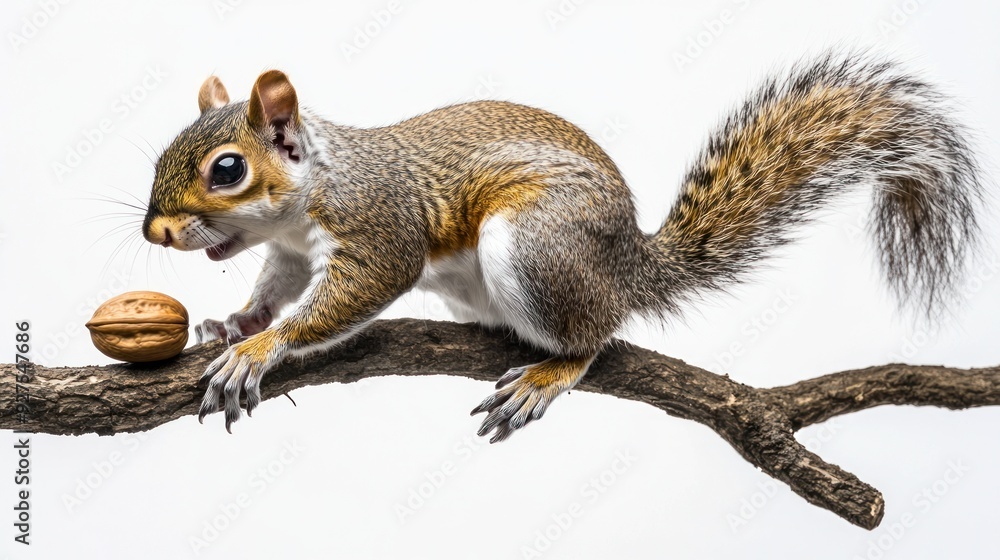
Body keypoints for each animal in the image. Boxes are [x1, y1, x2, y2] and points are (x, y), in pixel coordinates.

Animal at [142, 52, 983, 440]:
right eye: (163, 153)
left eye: (227, 170)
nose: (154, 230)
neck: (312, 187)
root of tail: (630, 265)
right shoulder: (289, 253)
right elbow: (275, 288)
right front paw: (236, 324)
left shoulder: (380, 225)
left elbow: (353, 293)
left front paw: (260, 351)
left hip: (536, 248)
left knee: (596, 336)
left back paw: (552, 371)